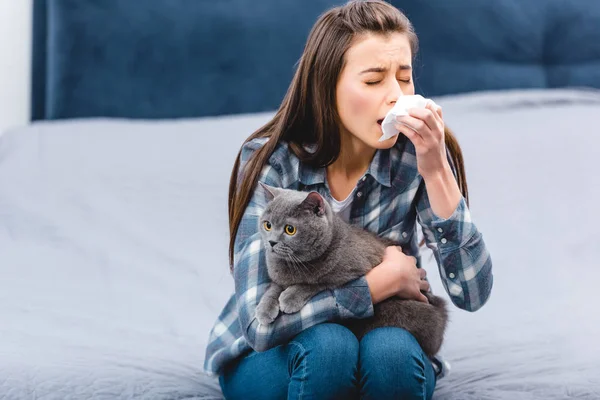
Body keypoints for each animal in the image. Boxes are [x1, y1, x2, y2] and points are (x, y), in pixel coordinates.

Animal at [255, 183, 448, 358]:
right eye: (267, 225)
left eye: (290, 229)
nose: (271, 242)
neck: (293, 265)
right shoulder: (278, 278)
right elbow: (273, 288)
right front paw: (264, 310)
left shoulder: (355, 268)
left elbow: (318, 282)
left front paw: (290, 297)